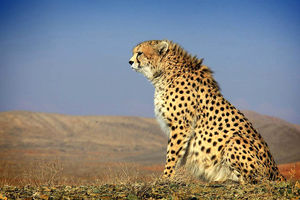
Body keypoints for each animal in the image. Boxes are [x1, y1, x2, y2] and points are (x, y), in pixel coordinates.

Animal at [128, 39, 284, 184]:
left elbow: (172, 154)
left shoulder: (181, 126)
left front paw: (165, 178)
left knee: (254, 179)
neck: (166, 72)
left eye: (139, 53)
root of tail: (276, 171)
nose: (130, 62)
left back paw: (224, 180)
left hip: (234, 141)